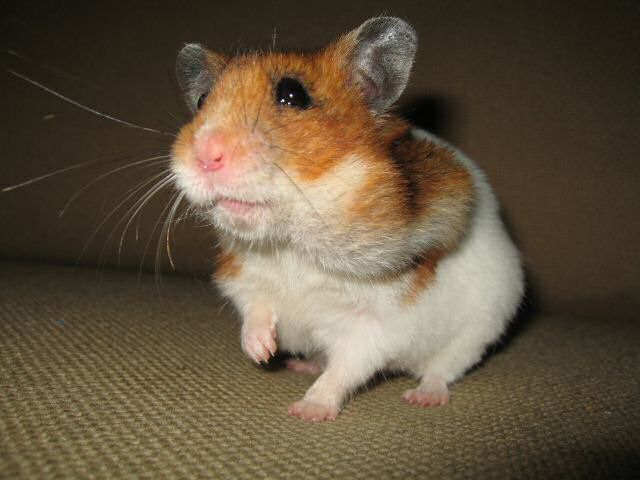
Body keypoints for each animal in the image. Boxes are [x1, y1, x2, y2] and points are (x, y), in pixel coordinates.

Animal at [170, 17, 524, 421]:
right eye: (202, 100)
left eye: (292, 94)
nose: (204, 155)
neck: (292, 243)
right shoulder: (248, 279)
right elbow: (254, 311)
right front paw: (262, 352)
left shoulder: (373, 326)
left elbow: (344, 370)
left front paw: (306, 410)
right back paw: (301, 363)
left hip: (478, 329)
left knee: (443, 369)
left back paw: (423, 397)